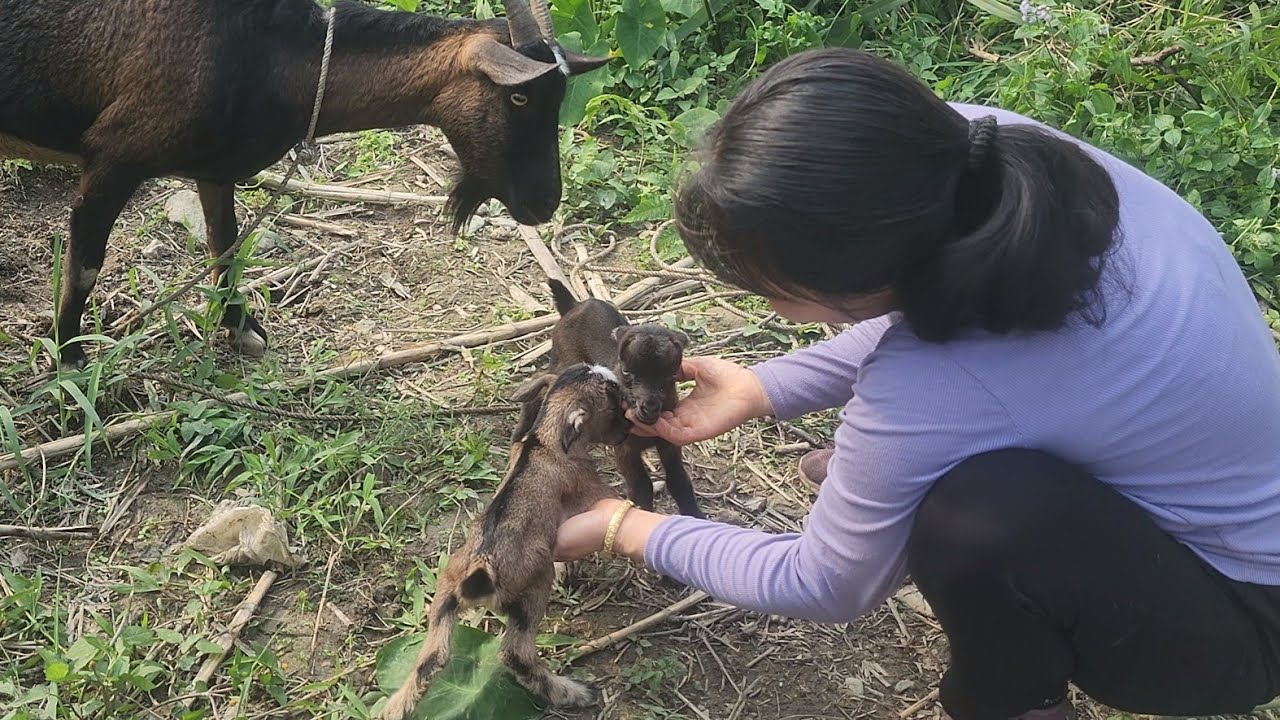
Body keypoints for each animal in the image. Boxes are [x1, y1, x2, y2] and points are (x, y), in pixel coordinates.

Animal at [0, 0, 609, 368]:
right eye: (520, 96)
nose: (545, 202)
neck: (264, 56)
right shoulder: (112, 157)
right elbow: (85, 263)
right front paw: (69, 356)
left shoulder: (214, 169)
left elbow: (226, 247)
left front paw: (241, 329)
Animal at [381, 362, 629, 719]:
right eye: (615, 404)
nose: (628, 431)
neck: (543, 440)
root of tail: (478, 573)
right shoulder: (587, 487)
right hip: (533, 586)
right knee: (516, 654)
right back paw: (573, 692)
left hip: (444, 593)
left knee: (431, 658)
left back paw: (396, 706)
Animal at [512, 279, 705, 518]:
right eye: (626, 371)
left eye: (670, 375)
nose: (649, 408)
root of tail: (574, 305)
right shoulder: (625, 449)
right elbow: (641, 487)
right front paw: (642, 512)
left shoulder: (669, 443)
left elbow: (679, 482)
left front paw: (696, 516)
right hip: (565, 362)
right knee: (543, 381)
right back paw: (519, 431)